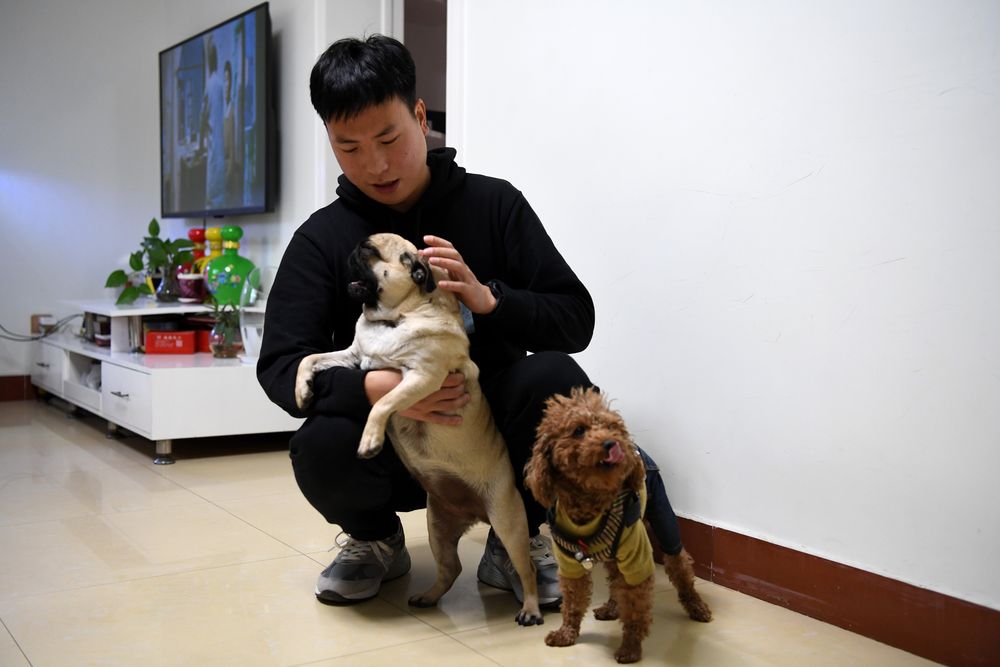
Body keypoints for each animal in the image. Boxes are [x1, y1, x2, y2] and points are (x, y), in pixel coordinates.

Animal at [294, 232, 543, 626]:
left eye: (370, 252)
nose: (353, 249)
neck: (396, 317)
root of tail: (475, 513)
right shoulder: (352, 357)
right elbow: (311, 358)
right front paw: (302, 390)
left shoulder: (422, 377)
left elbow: (382, 403)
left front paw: (370, 440)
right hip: (438, 525)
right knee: (450, 569)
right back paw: (428, 597)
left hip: (509, 523)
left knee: (527, 570)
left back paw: (531, 609)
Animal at [525, 387, 711, 663]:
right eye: (578, 430)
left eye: (612, 428)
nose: (612, 443)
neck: (590, 503)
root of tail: (639, 447)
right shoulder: (571, 566)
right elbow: (573, 602)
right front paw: (566, 633)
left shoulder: (637, 560)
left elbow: (634, 607)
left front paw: (630, 649)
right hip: (615, 554)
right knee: (615, 578)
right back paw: (612, 608)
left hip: (664, 520)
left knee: (679, 565)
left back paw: (697, 607)